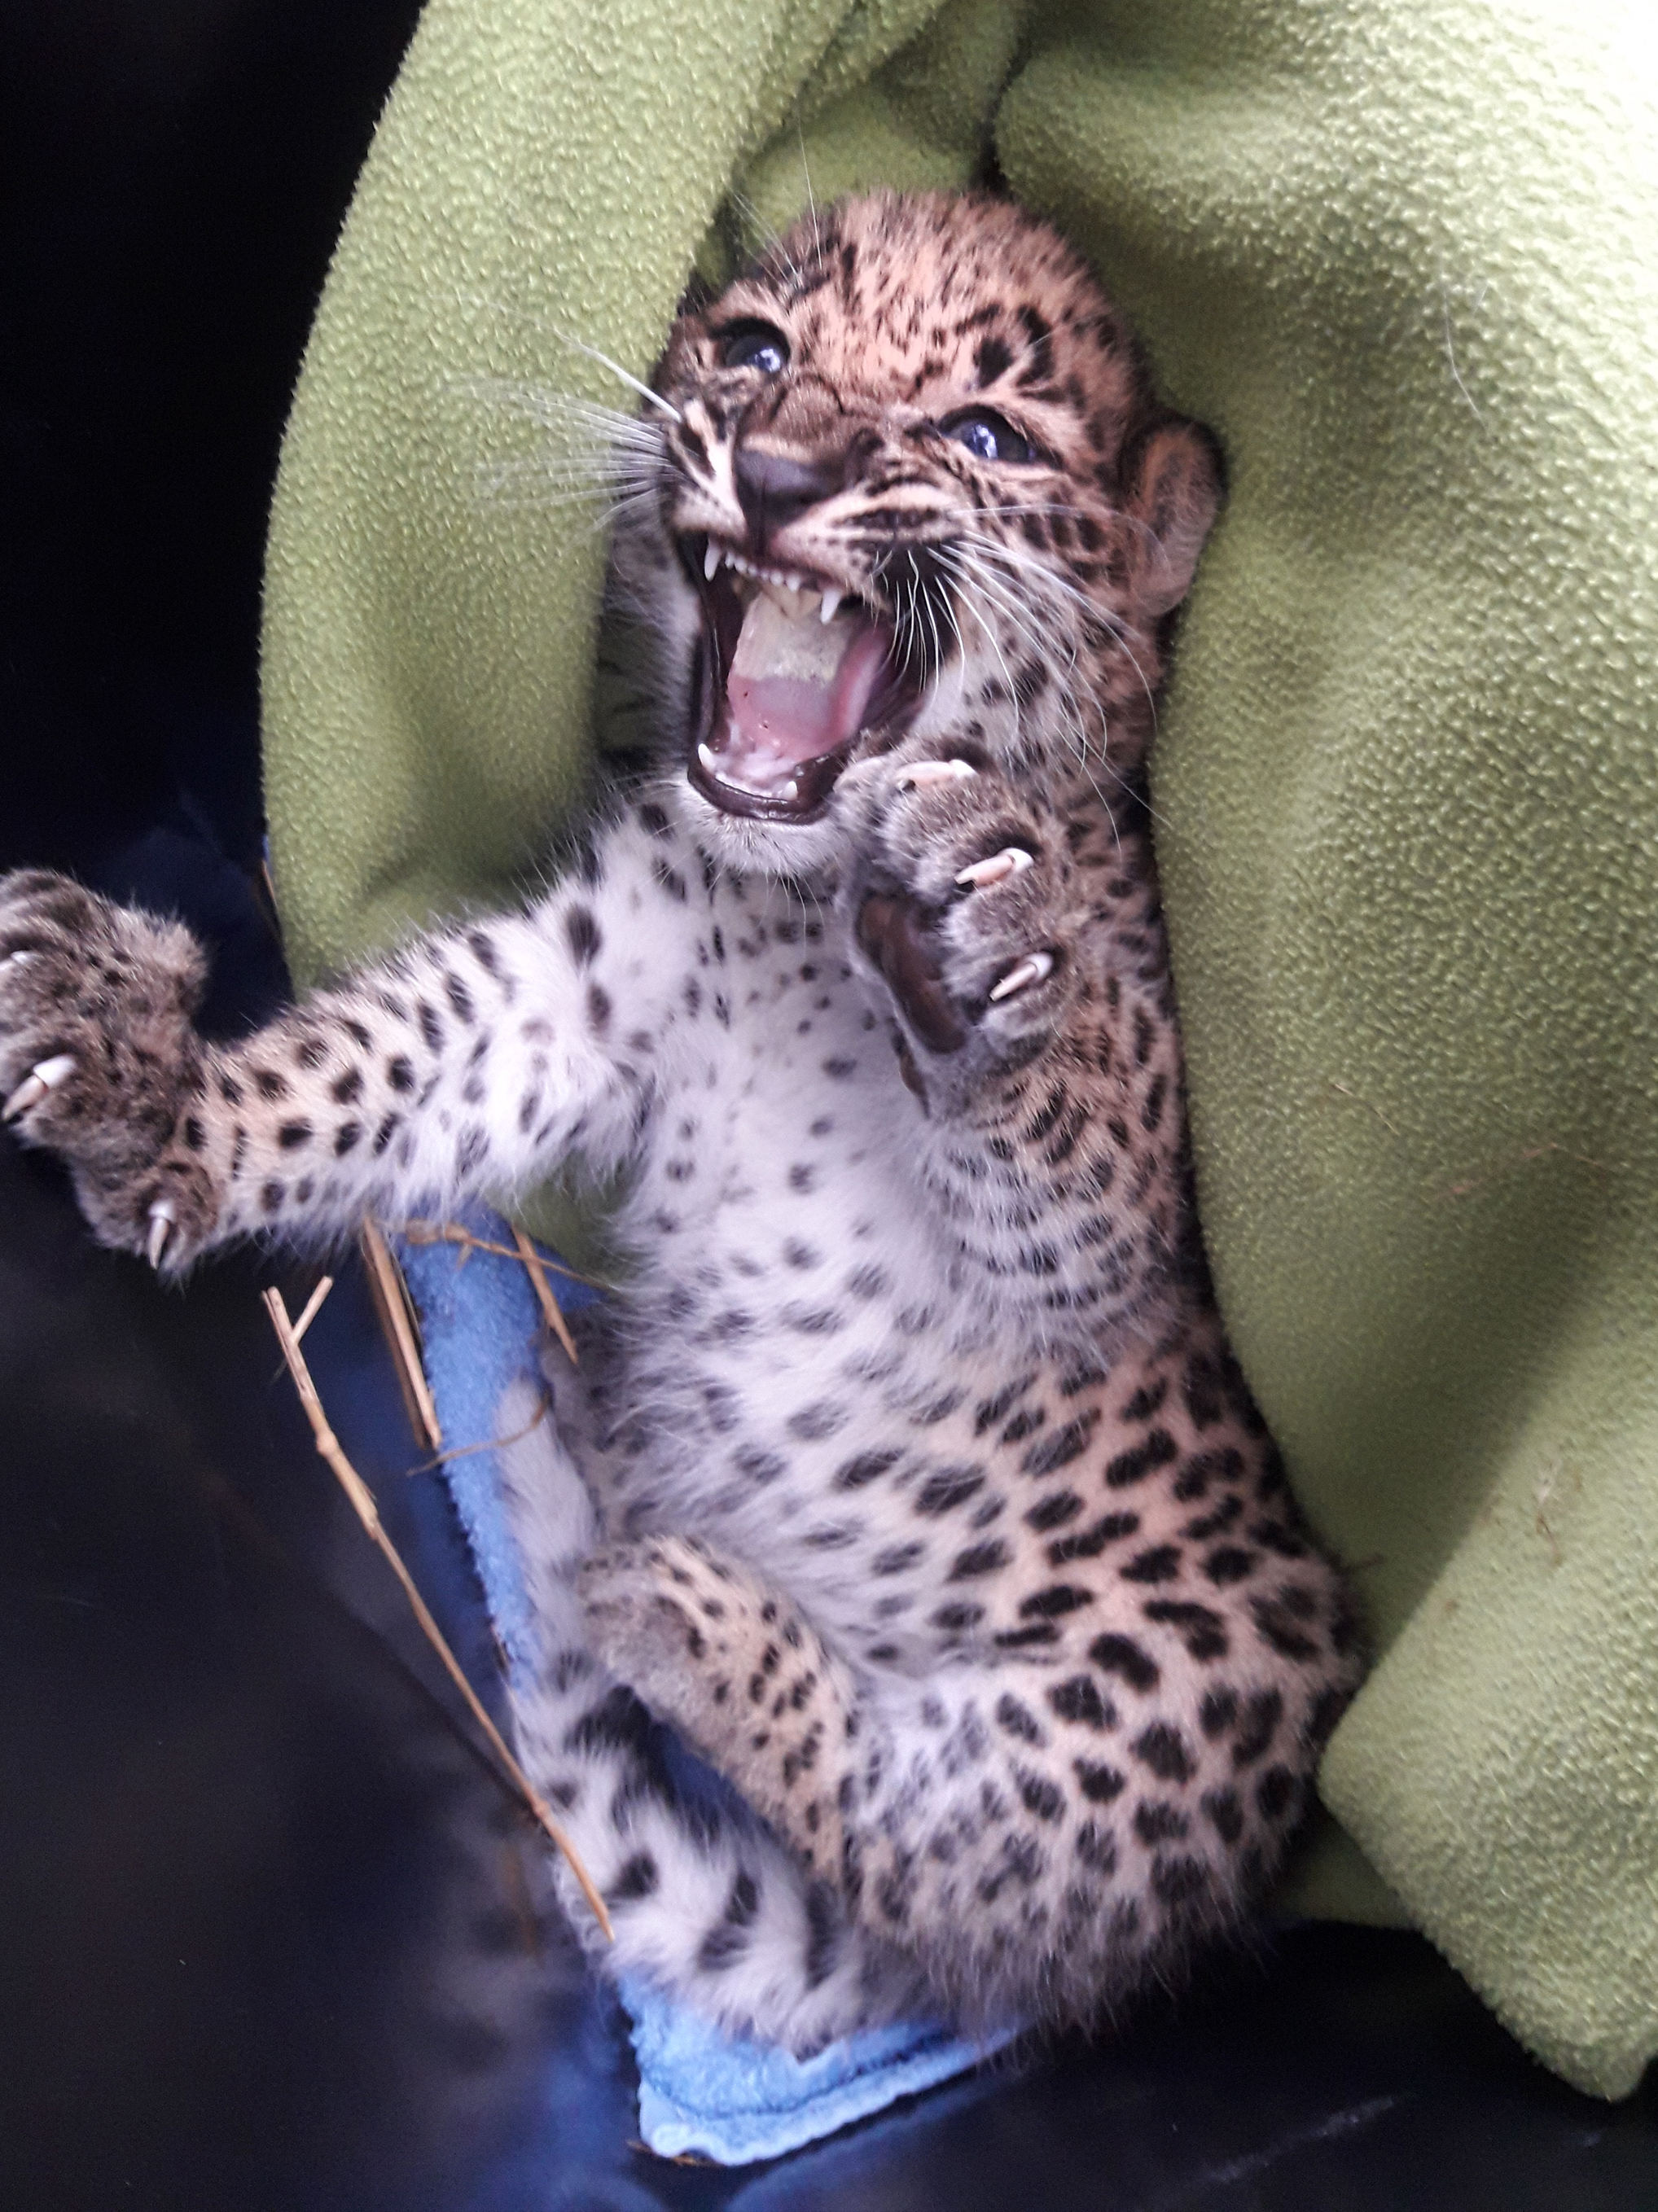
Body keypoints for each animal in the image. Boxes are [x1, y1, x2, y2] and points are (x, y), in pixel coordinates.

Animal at [0, 191, 1360, 2056]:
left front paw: (981, 943)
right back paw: (603, 1448)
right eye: (758, 351)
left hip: (1166, 1706)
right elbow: (368, 1065)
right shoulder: (564, 990)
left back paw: (677, 1593)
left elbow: (1079, 1125)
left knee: (901, 1828)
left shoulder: (1115, 1248)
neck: (783, 909)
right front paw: (158, 1087)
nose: (778, 472)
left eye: (984, 439)